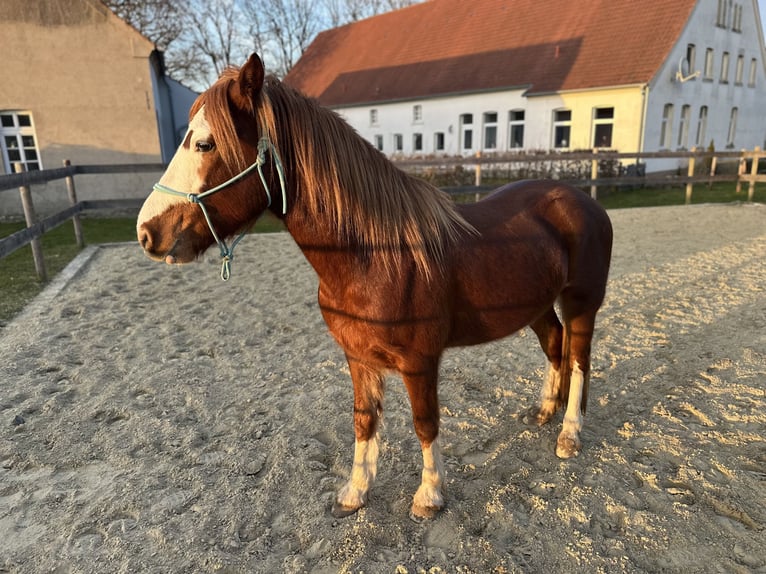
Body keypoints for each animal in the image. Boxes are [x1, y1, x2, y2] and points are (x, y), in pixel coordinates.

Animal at [138, 54, 616, 520]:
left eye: (205, 144)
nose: (147, 232)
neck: (377, 256)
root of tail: (584, 201)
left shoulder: (420, 362)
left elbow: (425, 423)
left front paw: (429, 496)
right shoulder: (358, 357)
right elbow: (363, 420)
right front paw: (355, 491)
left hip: (581, 302)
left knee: (578, 359)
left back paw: (569, 433)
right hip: (537, 306)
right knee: (554, 345)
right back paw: (544, 411)